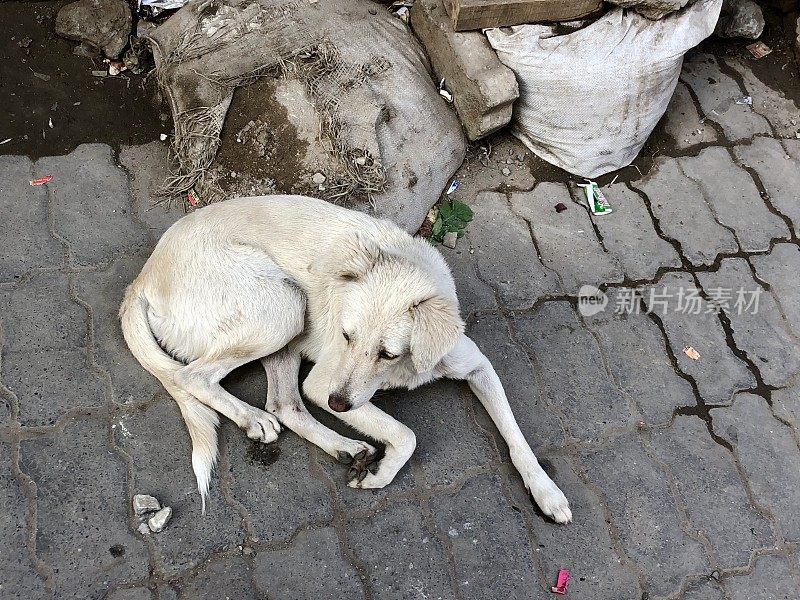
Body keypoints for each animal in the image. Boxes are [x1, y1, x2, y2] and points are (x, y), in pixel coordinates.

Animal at [119, 195, 572, 524]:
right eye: (347, 335)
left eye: (387, 352)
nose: (337, 406)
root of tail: (140, 279)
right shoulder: (323, 382)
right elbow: (405, 434)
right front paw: (382, 475)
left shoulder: (478, 366)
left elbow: (517, 438)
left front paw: (546, 491)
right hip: (283, 307)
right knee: (192, 378)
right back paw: (253, 419)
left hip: (289, 323)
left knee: (284, 405)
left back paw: (343, 448)